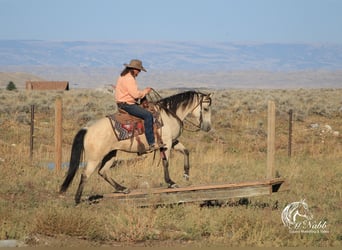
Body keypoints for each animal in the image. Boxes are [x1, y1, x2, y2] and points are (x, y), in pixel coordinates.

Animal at [60, 91, 212, 204]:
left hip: (111, 153)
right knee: (85, 174)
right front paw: (171, 183)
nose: (208, 127)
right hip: (94, 158)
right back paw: (77, 199)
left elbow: (186, 151)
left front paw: (186, 174)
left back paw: (123, 189)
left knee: (103, 172)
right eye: (205, 108)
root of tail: (87, 129)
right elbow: (166, 163)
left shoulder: (173, 142)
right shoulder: (167, 144)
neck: (169, 115)